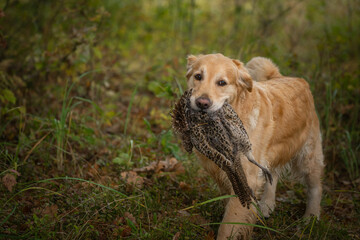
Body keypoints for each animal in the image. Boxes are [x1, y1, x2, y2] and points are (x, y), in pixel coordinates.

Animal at [186, 53, 324, 239]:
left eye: (222, 82)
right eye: (198, 76)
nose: (202, 103)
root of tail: (294, 79)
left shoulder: (247, 177)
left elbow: (229, 223)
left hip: (308, 155)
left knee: (315, 187)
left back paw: (311, 217)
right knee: (273, 174)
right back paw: (266, 205)